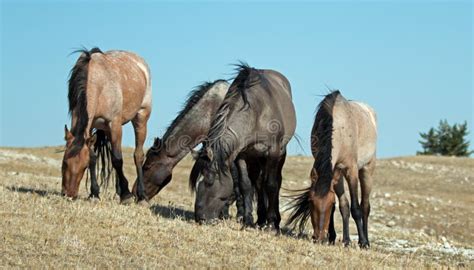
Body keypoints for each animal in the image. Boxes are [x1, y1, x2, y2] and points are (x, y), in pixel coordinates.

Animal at [62, 48, 152, 202]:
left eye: (83, 167)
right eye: (64, 163)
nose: (69, 195)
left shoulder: (114, 125)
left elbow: (117, 159)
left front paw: (126, 195)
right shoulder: (90, 126)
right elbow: (94, 157)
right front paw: (94, 193)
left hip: (141, 116)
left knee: (138, 155)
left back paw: (141, 195)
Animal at [193, 63, 296, 230]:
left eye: (209, 181)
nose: (199, 217)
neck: (257, 114)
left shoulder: (273, 152)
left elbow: (271, 184)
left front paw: (271, 224)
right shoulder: (242, 156)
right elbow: (246, 185)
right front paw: (248, 220)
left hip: (279, 153)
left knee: (275, 181)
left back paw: (273, 221)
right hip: (256, 158)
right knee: (259, 183)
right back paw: (260, 219)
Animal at [286, 92, 378, 248]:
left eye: (330, 204)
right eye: (311, 201)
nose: (319, 238)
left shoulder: (350, 170)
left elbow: (355, 208)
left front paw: (362, 241)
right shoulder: (335, 173)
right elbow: (343, 206)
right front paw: (339, 239)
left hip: (367, 169)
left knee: (365, 206)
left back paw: (365, 242)